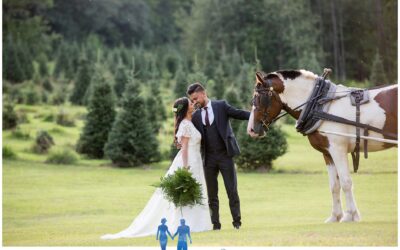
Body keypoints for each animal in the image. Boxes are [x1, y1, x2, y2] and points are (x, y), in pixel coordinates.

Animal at [247, 69, 396, 223]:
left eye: (258, 98)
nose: (251, 129)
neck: (320, 106)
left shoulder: (338, 149)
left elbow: (345, 182)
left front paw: (350, 215)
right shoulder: (328, 153)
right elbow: (334, 185)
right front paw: (335, 216)